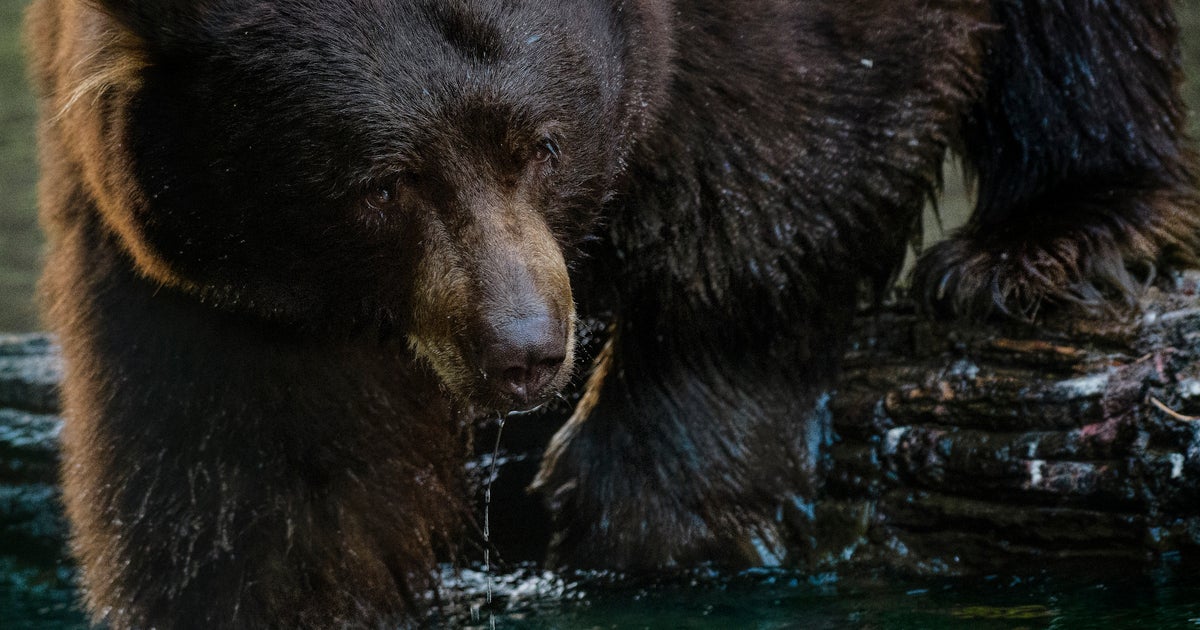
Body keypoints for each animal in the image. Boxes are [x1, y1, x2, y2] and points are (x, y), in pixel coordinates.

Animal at [26, 0, 1198, 628]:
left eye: (541, 146)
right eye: (386, 183)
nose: (524, 351)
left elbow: (804, 127)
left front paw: (653, 487)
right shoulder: (210, 258)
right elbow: (253, 483)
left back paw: (1055, 232)